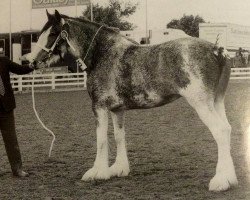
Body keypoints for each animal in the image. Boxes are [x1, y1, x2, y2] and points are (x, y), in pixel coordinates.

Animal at [26, 10, 238, 191]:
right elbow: (119, 136)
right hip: (217, 102)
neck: (102, 53)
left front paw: (97, 172)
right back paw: (230, 179)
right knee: (227, 130)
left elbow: (101, 139)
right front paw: (119, 168)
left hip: (201, 103)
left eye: (53, 33)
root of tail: (217, 50)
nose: (31, 62)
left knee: (220, 131)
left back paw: (220, 181)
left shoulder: (99, 107)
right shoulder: (117, 109)